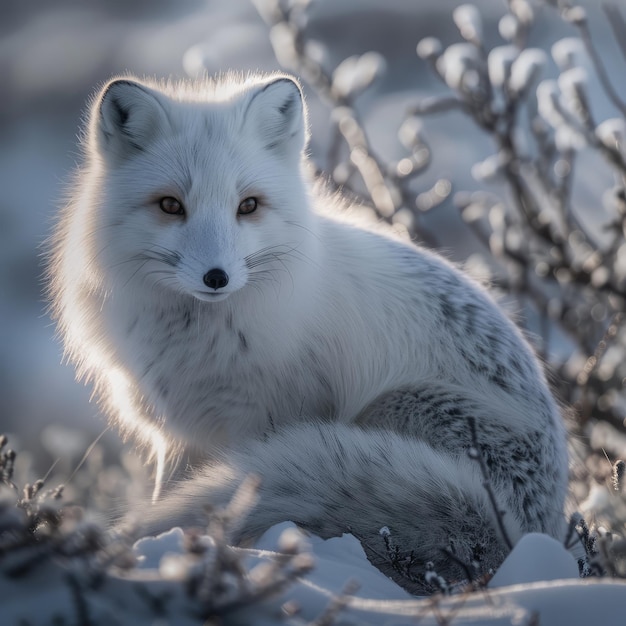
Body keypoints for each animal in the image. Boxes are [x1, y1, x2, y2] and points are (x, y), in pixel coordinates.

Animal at [47, 73, 564, 588]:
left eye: (248, 206)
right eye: (171, 205)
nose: (216, 277)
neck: (200, 338)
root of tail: (529, 528)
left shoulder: (263, 420)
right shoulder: (174, 434)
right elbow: (166, 494)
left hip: (391, 408)